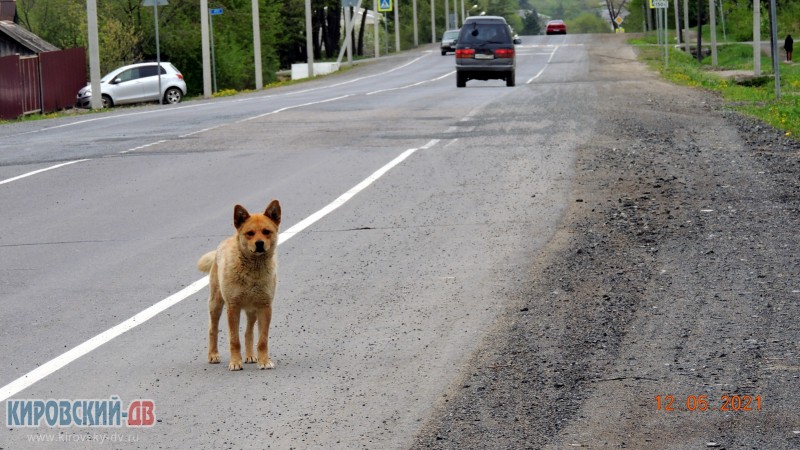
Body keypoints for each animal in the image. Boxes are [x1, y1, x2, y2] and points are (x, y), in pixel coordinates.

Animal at [196, 200, 282, 370]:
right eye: (250, 233)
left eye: (266, 231)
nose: (259, 243)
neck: (252, 272)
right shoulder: (233, 307)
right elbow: (234, 340)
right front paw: (235, 362)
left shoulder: (265, 307)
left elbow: (262, 340)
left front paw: (264, 361)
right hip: (216, 304)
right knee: (212, 329)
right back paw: (213, 355)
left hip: (252, 310)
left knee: (248, 332)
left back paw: (250, 356)